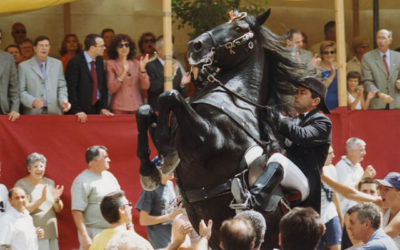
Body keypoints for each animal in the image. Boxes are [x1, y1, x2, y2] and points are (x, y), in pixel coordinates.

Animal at [137, 10, 306, 250]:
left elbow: (170, 96)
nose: (195, 46)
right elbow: (146, 110)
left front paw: (166, 156)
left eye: (238, 28)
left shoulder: (207, 140)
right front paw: (149, 170)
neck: (236, 97)